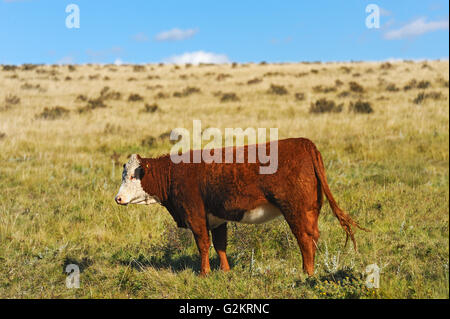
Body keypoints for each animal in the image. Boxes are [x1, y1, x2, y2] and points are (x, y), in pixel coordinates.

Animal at [113, 139, 366, 276]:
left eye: (134, 176)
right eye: (124, 174)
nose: (118, 198)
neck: (174, 172)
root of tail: (304, 143)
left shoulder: (194, 214)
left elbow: (203, 244)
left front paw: (204, 273)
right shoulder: (216, 218)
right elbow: (220, 245)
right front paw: (225, 271)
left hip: (294, 210)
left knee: (304, 239)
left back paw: (307, 273)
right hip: (311, 209)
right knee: (313, 237)